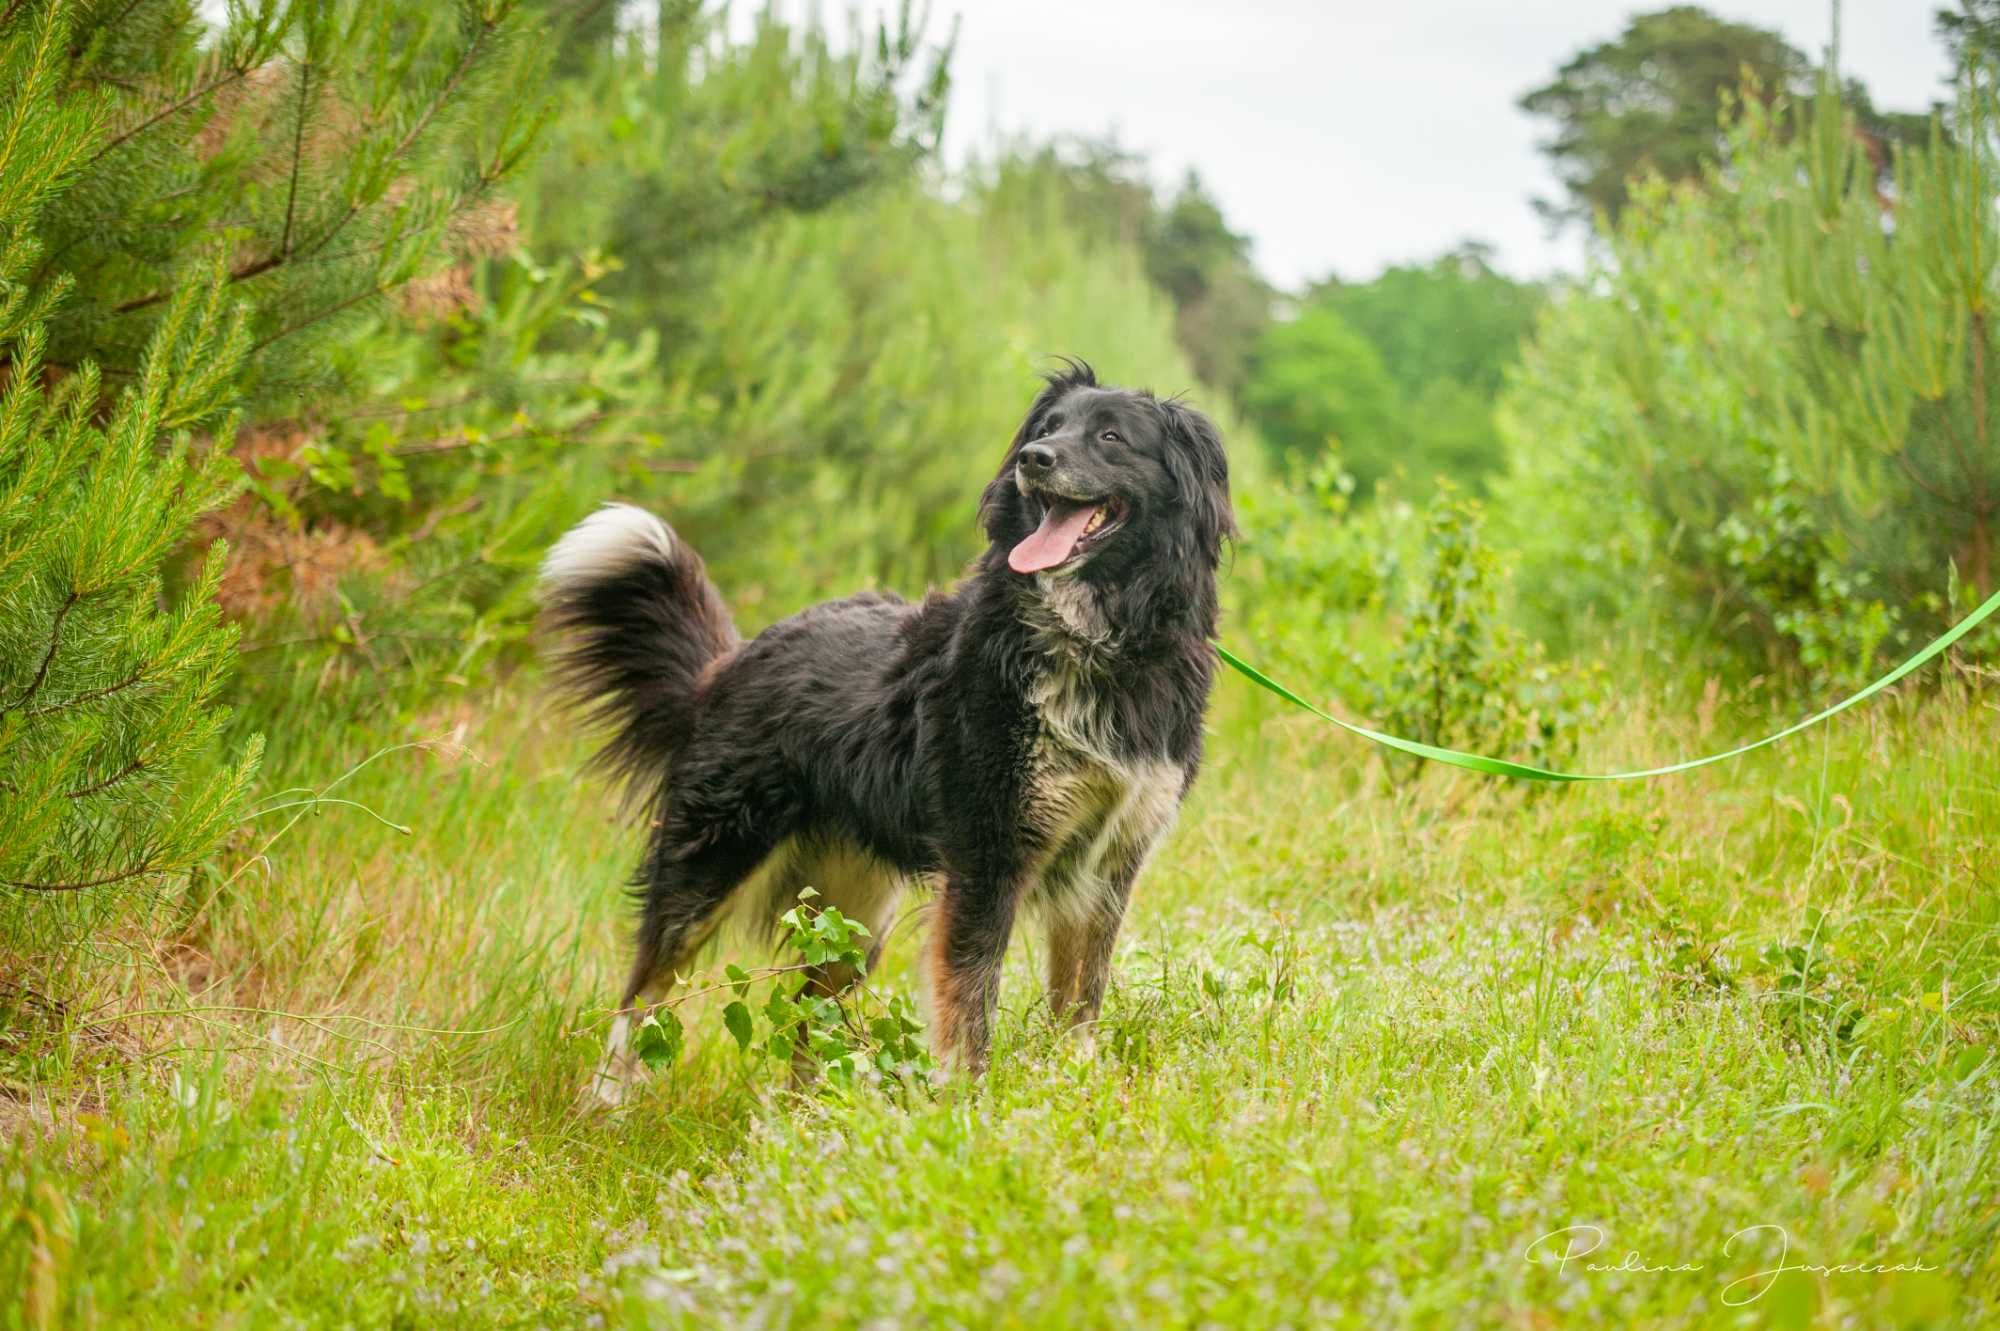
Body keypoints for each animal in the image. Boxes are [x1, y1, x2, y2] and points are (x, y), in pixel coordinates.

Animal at [540, 359, 1224, 1087]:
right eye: (1047, 427)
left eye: (1111, 436)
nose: (1033, 460)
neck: (1097, 642)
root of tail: (731, 661)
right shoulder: (987, 855)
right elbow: (970, 1005)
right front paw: (968, 1105)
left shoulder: (1106, 866)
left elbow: (1080, 1005)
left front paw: (1074, 1092)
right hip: (711, 864)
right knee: (642, 991)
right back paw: (607, 1097)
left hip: (854, 918)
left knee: (808, 1024)